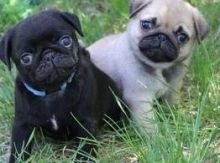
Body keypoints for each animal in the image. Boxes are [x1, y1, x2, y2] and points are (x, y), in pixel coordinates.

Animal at [0, 9, 121, 162]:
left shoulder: (85, 122)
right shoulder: (22, 125)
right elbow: (19, 149)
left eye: (66, 41)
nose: (49, 55)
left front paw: (84, 159)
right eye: (26, 58)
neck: (53, 90)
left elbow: (86, 147)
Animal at [87, 0, 208, 132]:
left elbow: (171, 104)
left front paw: (173, 117)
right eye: (146, 25)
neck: (161, 67)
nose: (162, 36)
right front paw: (155, 137)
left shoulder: (173, 88)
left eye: (182, 37)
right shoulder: (140, 99)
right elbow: (148, 124)